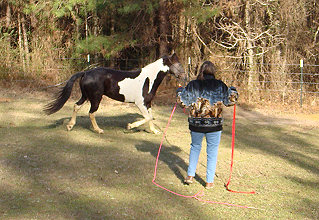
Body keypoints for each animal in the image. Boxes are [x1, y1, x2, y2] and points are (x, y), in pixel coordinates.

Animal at [43, 53, 186, 134]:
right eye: (178, 64)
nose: (185, 76)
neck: (148, 79)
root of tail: (86, 72)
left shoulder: (148, 103)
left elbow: (150, 117)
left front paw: (155, 131)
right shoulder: (140, 104)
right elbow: (148, 117)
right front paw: (130, 126)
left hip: (86, 96)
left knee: (76, 106)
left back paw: (70, 125)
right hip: (96, 98)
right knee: (91, 113)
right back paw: (98, 130)